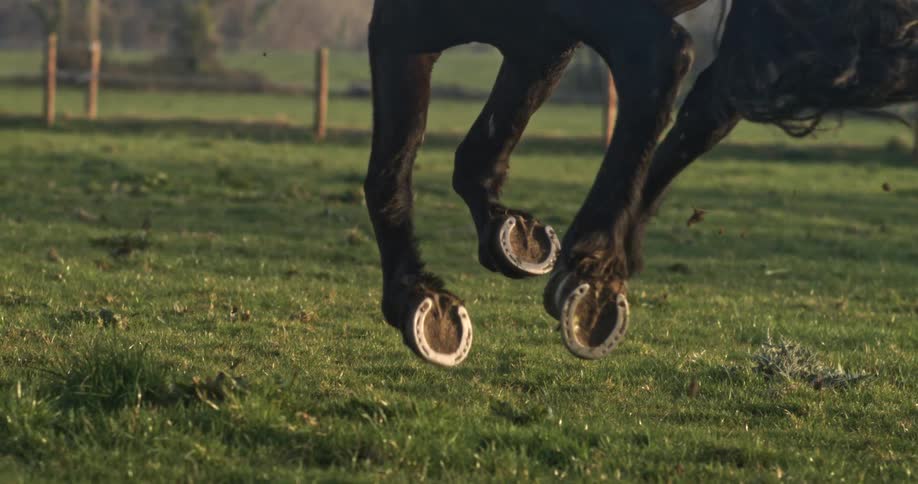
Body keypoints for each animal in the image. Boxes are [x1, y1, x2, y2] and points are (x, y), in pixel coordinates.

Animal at [363, 0, 918, 366]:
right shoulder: (501, 34)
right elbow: (415, 167)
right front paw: (425, 297)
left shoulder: (561, 26)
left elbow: (659, 62)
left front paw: (589, 272)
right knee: (720, 97)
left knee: (691, 82)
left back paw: (595, 272)